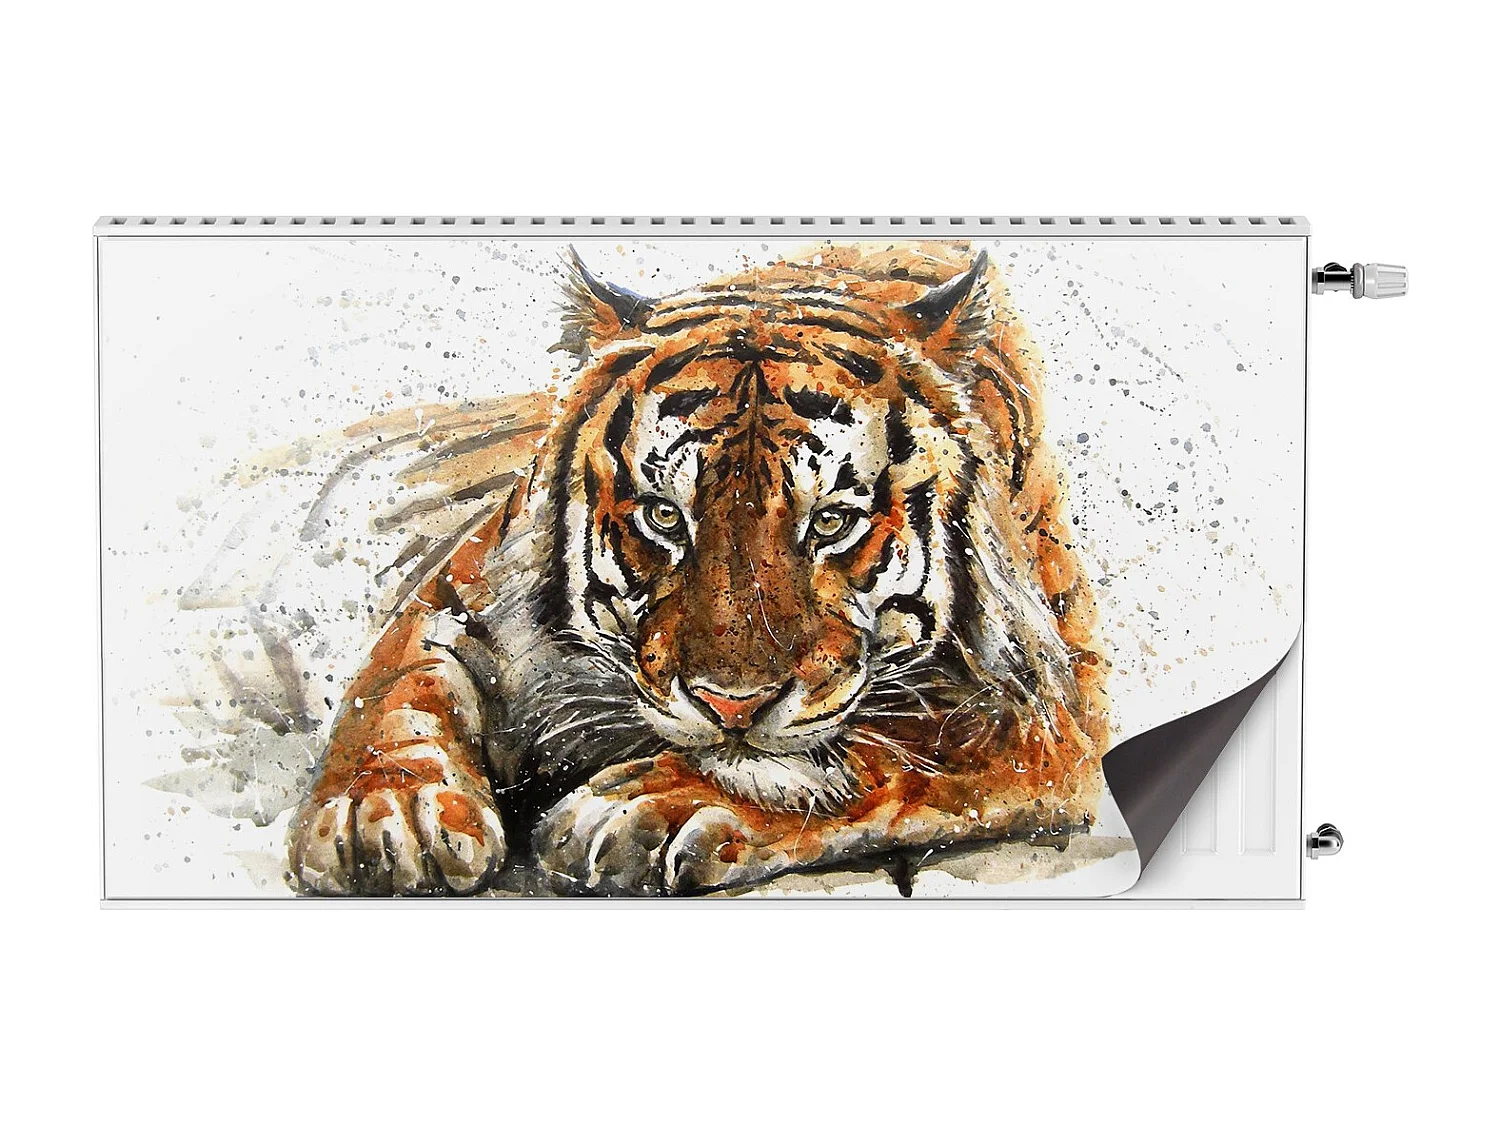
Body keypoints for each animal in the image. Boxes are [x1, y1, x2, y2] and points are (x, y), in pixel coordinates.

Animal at [286, 241, 1110, 896]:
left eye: (831, 523)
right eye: (664, 516)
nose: (731, 707)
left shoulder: (1042, 707)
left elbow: (884, 748)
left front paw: (652, 806)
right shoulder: (463, 588)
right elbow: (398, 684)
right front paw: (384, 810)